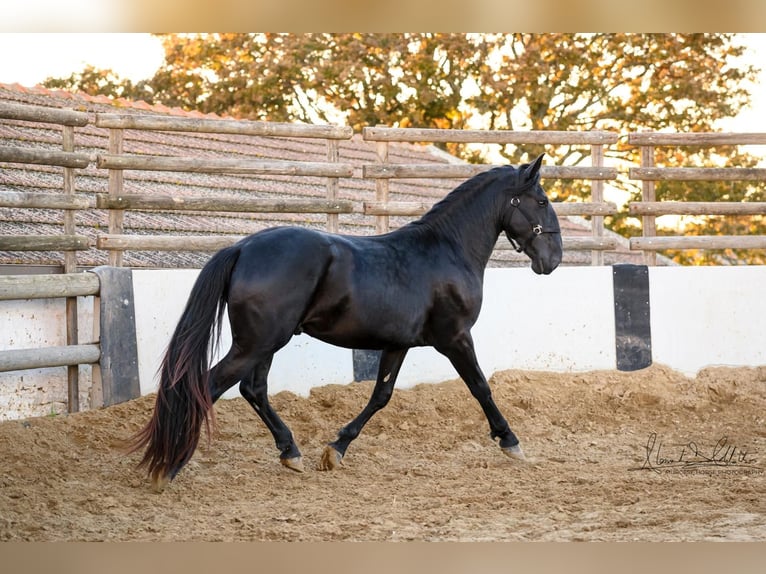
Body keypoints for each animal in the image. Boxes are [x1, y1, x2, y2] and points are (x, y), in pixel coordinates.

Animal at [129, 155, 564, 492]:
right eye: (541, 200)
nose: (554, 260)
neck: (447, 251)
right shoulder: (455, 338)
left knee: (253, 390)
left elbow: (380, 396)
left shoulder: (398, 344)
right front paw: (510, 441)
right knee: (210, 386)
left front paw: (335, 450)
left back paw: (291, 453)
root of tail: (243, 247)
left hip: (264, 343)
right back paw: (171, 466)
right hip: (259, 342)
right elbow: (480, 387)